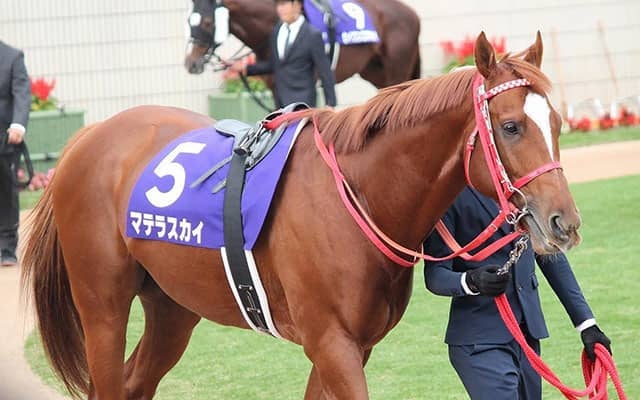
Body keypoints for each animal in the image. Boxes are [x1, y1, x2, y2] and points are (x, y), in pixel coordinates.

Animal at [22, 32, 581, 399]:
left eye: (555, 122)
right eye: (510, 127)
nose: (565, 223)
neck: (358, 196)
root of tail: (87, 139)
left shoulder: (350, 346)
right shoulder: (332, 344)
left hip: (172, 306)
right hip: (102, 307)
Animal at [184, 0, 421, 88]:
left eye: (207, 22)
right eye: (188, 21)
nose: (190, 63)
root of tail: (412, 14)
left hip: (397, 71)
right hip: (374, 72)